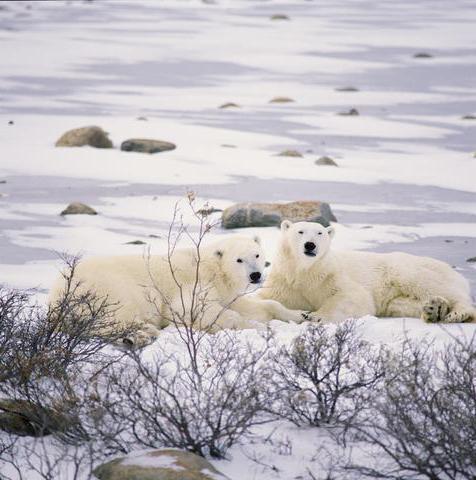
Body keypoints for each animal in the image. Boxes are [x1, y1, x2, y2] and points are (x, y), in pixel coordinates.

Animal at [48, 233, 308, 344]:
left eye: (257, 255)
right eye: (239, 260)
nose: (255, 276)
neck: (211, 268)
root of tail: (57, 294)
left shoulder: (224, 290)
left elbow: (253, 304)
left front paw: (300, 315)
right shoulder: (193, 285)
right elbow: (198, 310)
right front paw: (258, 328)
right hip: (107, 285)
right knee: (117, 312)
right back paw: (141, 334)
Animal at [260, 221, 476, 326]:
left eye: (319, 233)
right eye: (300, 232)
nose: (310, 245)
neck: (305, 271)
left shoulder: (330, 276)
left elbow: (353, 297)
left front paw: (316, 317)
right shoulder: (284, 283)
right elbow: (268, 298)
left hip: (405, 269)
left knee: (430, 284)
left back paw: (457, 313)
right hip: (397, 300)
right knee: (405, 304)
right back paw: (434, 310)